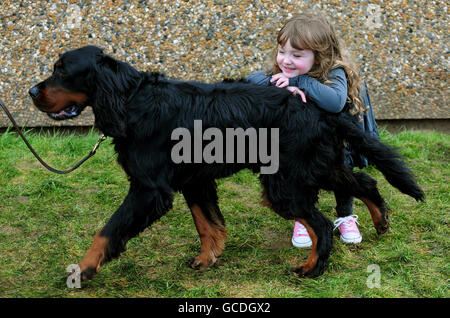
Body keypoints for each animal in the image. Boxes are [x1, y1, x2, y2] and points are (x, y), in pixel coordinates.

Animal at [29, 46, 424, 282]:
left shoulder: (149, 190)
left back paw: (312, 269)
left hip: (284, 183)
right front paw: (208, 258)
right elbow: (207, 224)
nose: (32, 92)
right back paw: (380, 222)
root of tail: (318, 109)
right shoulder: (194, 180)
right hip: (317, 167)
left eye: (62, 71)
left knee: (323, 224)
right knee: (363, 182)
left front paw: (82, 269)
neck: (131, 100)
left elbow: (107, 230)